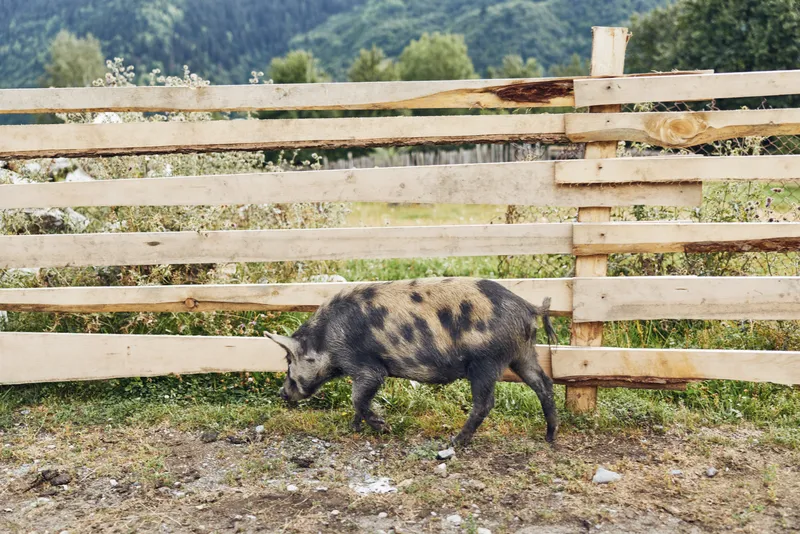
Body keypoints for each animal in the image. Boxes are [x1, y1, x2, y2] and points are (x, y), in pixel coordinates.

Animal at [266, 277, 557, 446]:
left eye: (288, 360)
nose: (282, 393)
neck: (328, 340)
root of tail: (528, 307)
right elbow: (358, 401)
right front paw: (353, 428)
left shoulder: (367, 366)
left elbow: (358, 396)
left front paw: (383, 428)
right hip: (523, 353)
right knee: (544, 384)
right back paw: (550, 437)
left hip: (486, 361)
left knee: (485, 403)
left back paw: (454, 442)